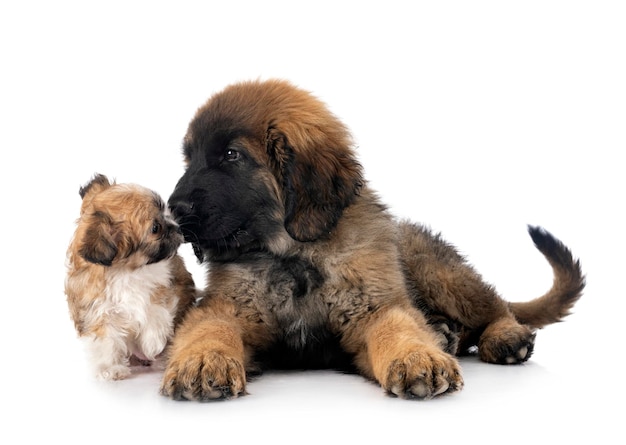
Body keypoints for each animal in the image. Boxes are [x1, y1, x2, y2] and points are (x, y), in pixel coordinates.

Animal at [160, 78, 580, 400]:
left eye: (232, 155)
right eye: (189, 159)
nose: (174, 209)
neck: (295, 255)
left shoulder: (371, 306)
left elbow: (397, 326)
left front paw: (417, 357)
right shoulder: (229, 308)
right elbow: (211, 328)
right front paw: (203, 360)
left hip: (435, 270)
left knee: (496, 306)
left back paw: (504, 337)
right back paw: (446, 333)